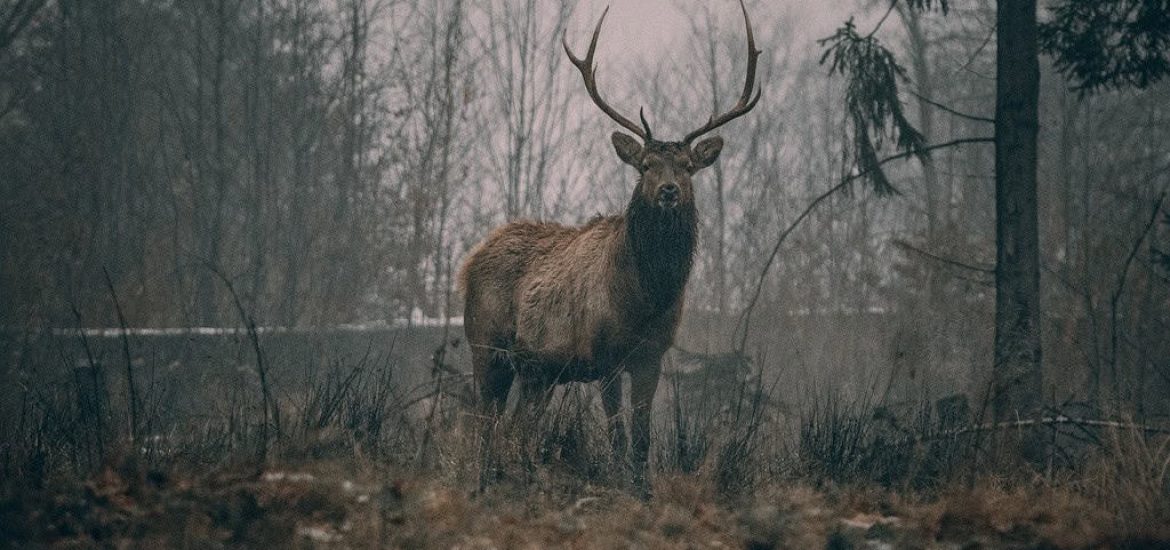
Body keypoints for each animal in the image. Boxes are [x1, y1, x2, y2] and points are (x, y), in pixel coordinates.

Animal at [456, 1, 758, 493]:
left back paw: (515, 478)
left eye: (688, 166)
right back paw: (482, 483)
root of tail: (469, 260)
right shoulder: (607, 355)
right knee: (486, 418)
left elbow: (641, 434)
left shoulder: (652, 355)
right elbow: (617, 432)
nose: (670, 191)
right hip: (486, 343)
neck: (645, 299)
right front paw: (620, 485)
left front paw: (644, 489)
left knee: (519, 424)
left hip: (538, 370)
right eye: (646, 165)